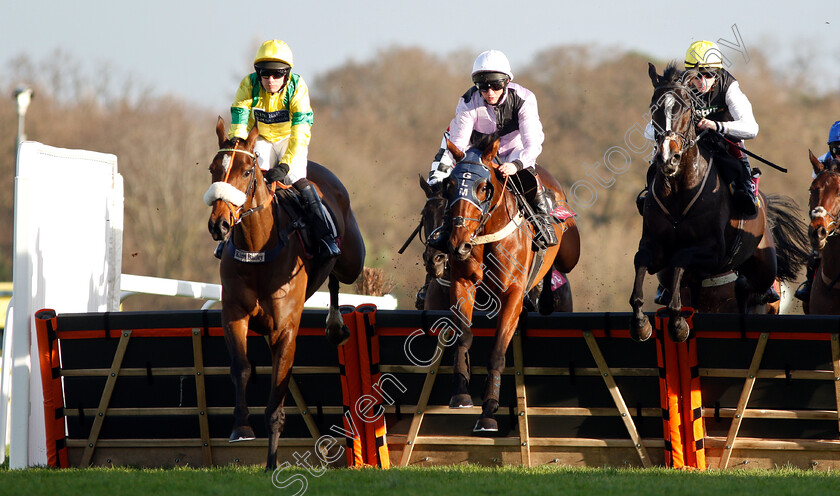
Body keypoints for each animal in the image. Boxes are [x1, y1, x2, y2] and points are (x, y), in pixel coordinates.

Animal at [204, 116, 364, 468]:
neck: (258, 249)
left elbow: (277, 396)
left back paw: (335, 324)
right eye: (212, 169)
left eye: (246, 172)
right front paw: (241, 428)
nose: (219, 224)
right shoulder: (234, 316)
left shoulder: (285, 329)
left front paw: (272, 463)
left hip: (352, 262)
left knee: (337, 276)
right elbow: (241, 367)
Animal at [440, 134, 576, 432]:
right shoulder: (462, 283)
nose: (458, 244)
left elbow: (498, 351)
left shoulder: (511, 294)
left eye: (483, 188)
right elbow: (464, 336)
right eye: (450, 186)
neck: (485, 236)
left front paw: (489, 411)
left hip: (569, 253)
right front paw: (460, 394)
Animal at [632, 61, 792, 340]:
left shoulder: (713, 252)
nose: (668, 158)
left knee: (753, 286)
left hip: (764, 266)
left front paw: (677, 324)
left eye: (684, 107)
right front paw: (642, 323)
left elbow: (680, 259)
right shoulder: (654, 246)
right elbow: (642, 263)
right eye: (654, 108)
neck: (678, 190)